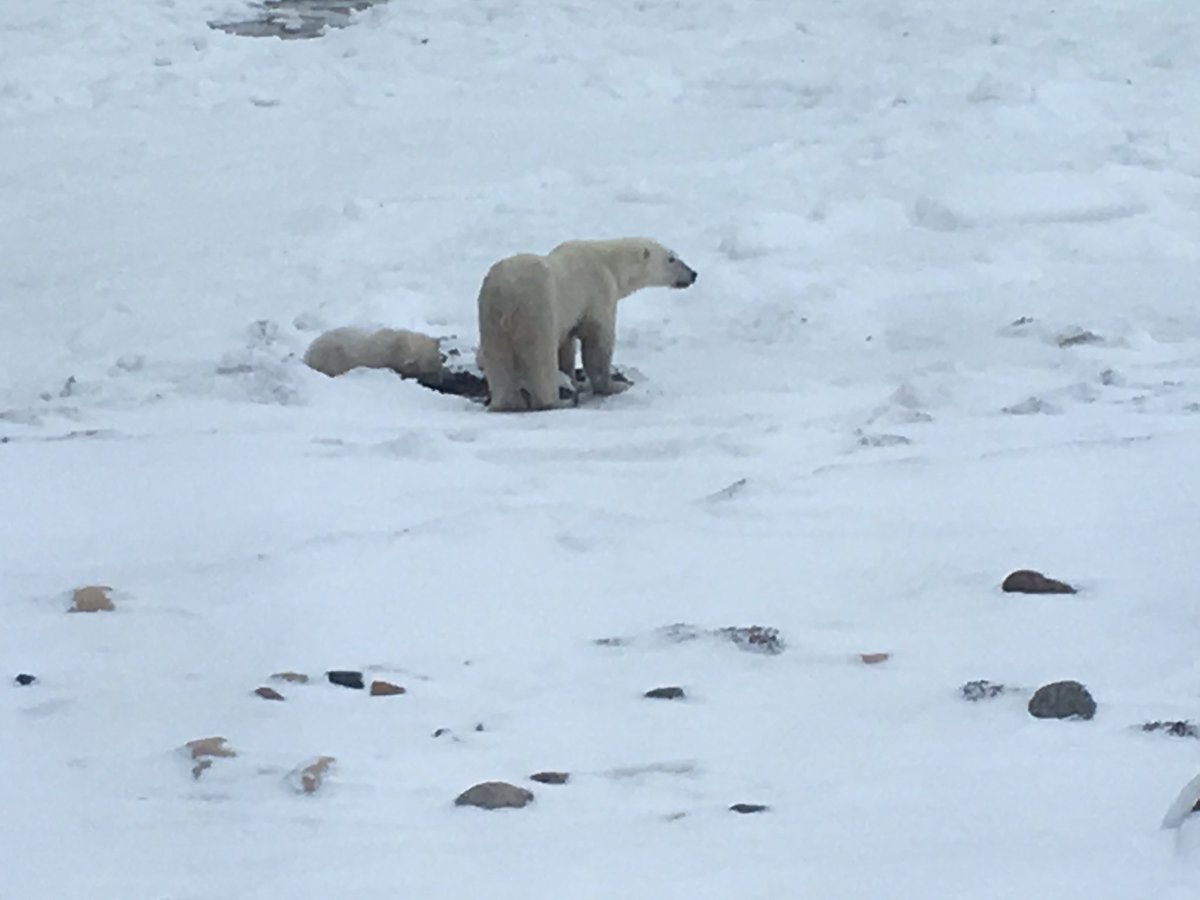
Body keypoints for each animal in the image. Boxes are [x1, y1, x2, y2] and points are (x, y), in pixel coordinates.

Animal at [476, 237, 697, 412]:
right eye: (671, 258)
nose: (693, 274)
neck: (608, 262)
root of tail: (506, 297)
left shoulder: (568, 318)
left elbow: (567, 347)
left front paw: (575, 381)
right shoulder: (597, 293)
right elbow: (597, 343)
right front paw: (613, 385)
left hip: (491, 322)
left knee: (499, 363)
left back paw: (505, 404)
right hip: (537, 313)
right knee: (540, 361)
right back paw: (556, 401)